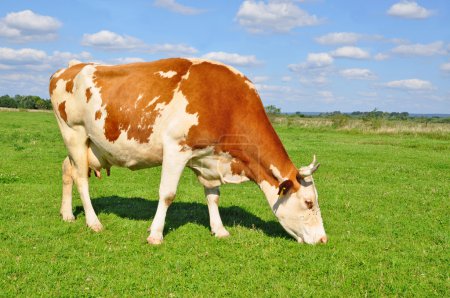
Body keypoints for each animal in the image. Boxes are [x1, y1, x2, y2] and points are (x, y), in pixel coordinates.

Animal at [50, 57, 326, 244]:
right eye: (309, 202)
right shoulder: (176, 148)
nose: (323, 239)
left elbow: (213, 196)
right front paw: (155, 234)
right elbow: (167, 194)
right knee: (81, 179)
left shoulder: (209, 158)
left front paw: (219, 229)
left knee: (67, 169)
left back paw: (67, 214)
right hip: (74, 133)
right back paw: (93, 222)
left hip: (89, 144)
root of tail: (68, 67)